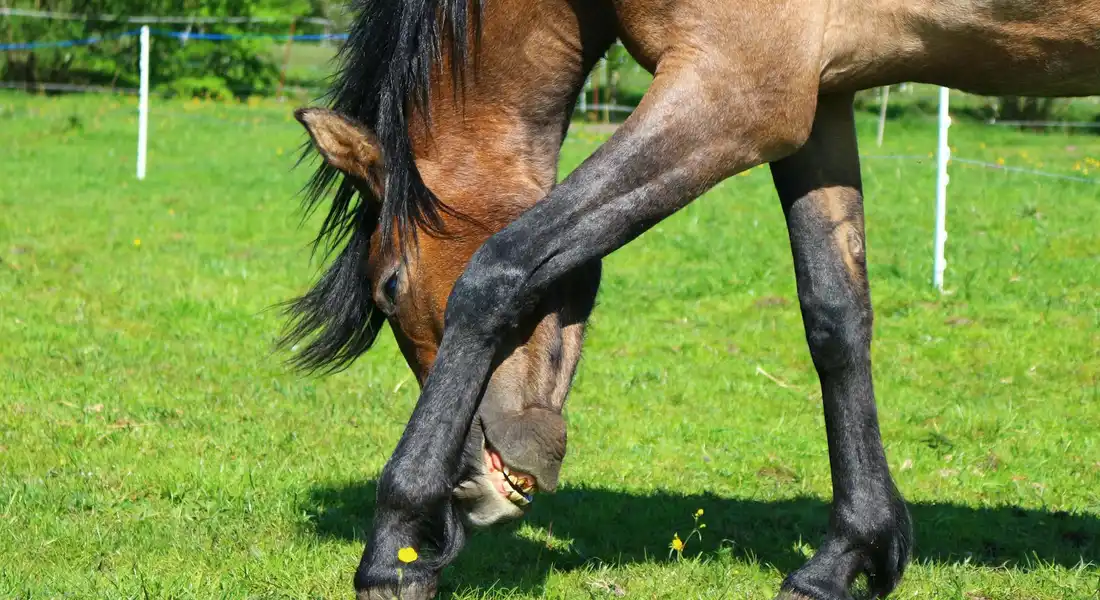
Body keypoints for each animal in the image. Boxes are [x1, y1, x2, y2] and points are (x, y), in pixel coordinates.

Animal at [283, 1, 1100, 598]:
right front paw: (848, 555)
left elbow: (499, 270)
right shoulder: (820, 95)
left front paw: (395, 547)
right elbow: (835, 317)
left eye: (390, 287)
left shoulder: (733, 90)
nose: (467, 487)